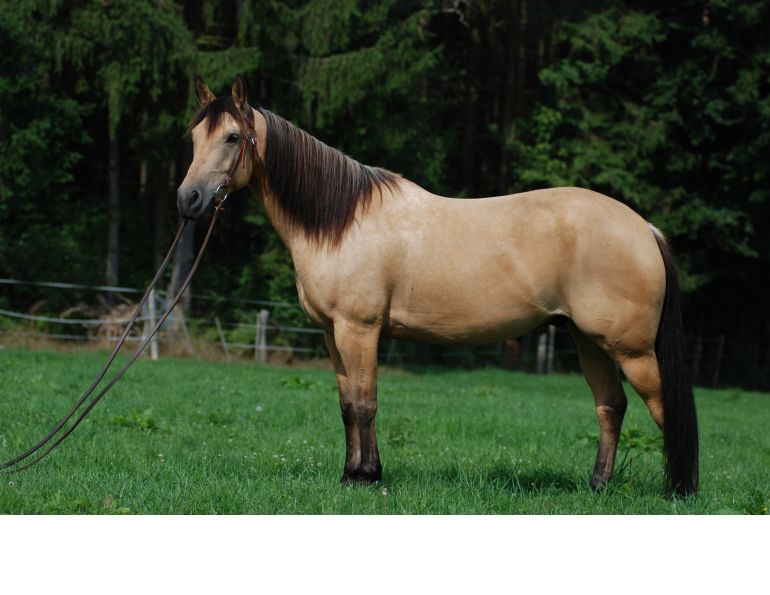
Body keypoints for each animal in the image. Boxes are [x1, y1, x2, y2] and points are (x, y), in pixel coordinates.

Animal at [178, 75, 699, 497]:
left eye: (232, 137)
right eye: (194, 136)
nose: (189, 199)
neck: (342, 222)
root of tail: (644, 228)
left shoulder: (359, 330)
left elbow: (365, 404)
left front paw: (367, 477)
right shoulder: (331, 334)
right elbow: (346, 405)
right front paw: (350, 474)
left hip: (631, 349)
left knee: (664, 409)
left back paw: (678, 491)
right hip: (588, 340)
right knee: (611, 407)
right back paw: (598, 486)